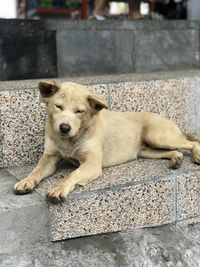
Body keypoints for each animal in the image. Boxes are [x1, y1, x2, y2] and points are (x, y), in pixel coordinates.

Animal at [14, 81, 200, 203]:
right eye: (58, 106)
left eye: (79, 111)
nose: (64, 127)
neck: (70, 139)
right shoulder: (50, 157)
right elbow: (36, 171)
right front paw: (25, 181)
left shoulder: (92, 164)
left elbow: (71, 175)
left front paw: (59, 189)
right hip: (146, 150)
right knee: (175, 150)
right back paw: (176, 158)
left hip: (157, 136)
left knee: (191, 143)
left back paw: (196, 155)